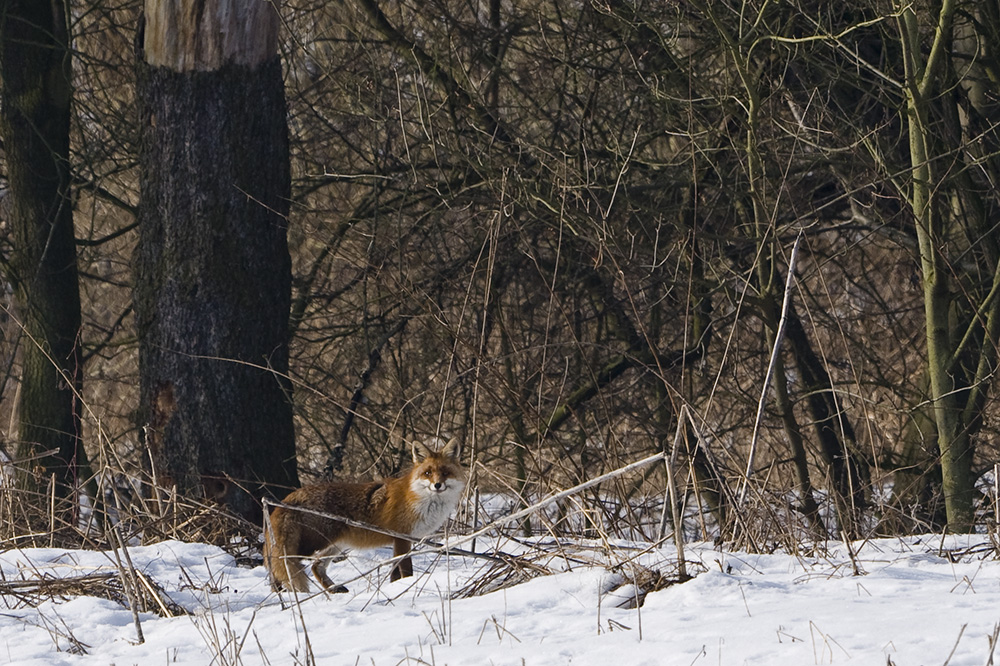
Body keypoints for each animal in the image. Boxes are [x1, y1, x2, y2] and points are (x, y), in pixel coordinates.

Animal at [266, 438, 468, 588]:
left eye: (445, 472)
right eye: (428, 473)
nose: (437, 485)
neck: (420, 498)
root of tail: (290, 498)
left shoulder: (404, 540)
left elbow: (394, 573)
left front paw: (394, 587)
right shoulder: (402, 537)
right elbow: (406, 570)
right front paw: (405, 585)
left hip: (335, 544)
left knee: (316, 566)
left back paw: (335, 590)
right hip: (314, 543)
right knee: (281, 559)